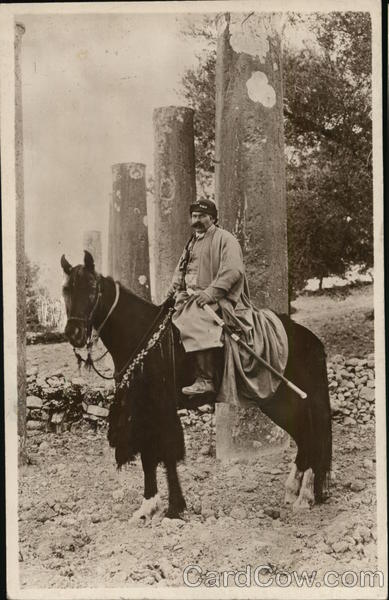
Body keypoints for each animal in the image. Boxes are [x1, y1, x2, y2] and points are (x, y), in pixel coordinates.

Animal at [59, 251, 330, 516]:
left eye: (92, 288)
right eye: (66, 290)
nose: (73, 333)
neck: (142, 335)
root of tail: (308, 338)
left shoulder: (159, 407)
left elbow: (165, 454)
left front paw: (173, 506)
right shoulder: (144, 409)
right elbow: (149, 456)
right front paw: (149, 504)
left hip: (284, 400)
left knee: (311, 437)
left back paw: (304, 496)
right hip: (280, 403)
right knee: (305, 437)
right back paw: (294, 490)